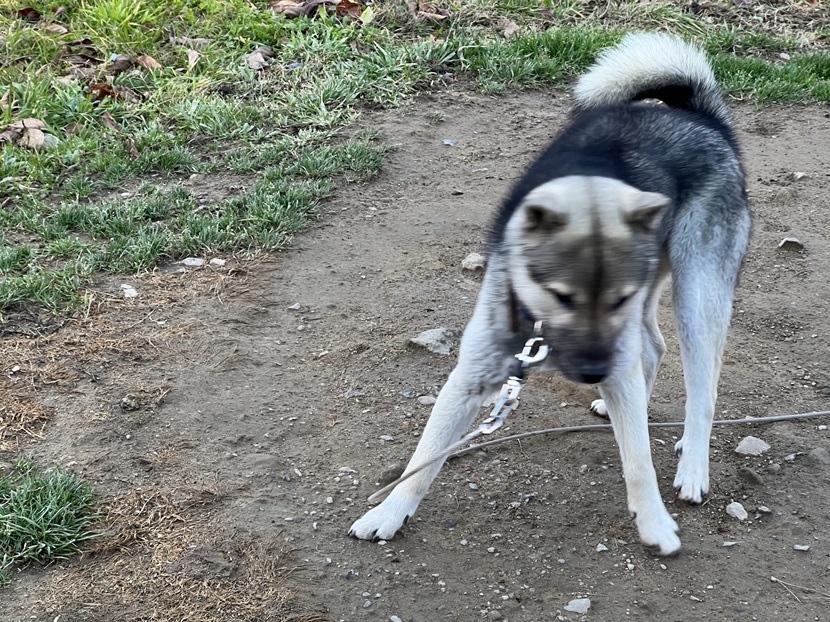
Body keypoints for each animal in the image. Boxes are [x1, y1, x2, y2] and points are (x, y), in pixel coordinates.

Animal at [352, 31, 752, 556]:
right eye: (562, 297)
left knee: (701, 389)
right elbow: (425, 457)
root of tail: (701, 118)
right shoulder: (468, 379)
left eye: (614, 299)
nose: (594, 373)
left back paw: (692, 466)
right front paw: (388, 512)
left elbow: (639, 463)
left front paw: (655, 524)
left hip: (697, 293)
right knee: (652, 348)